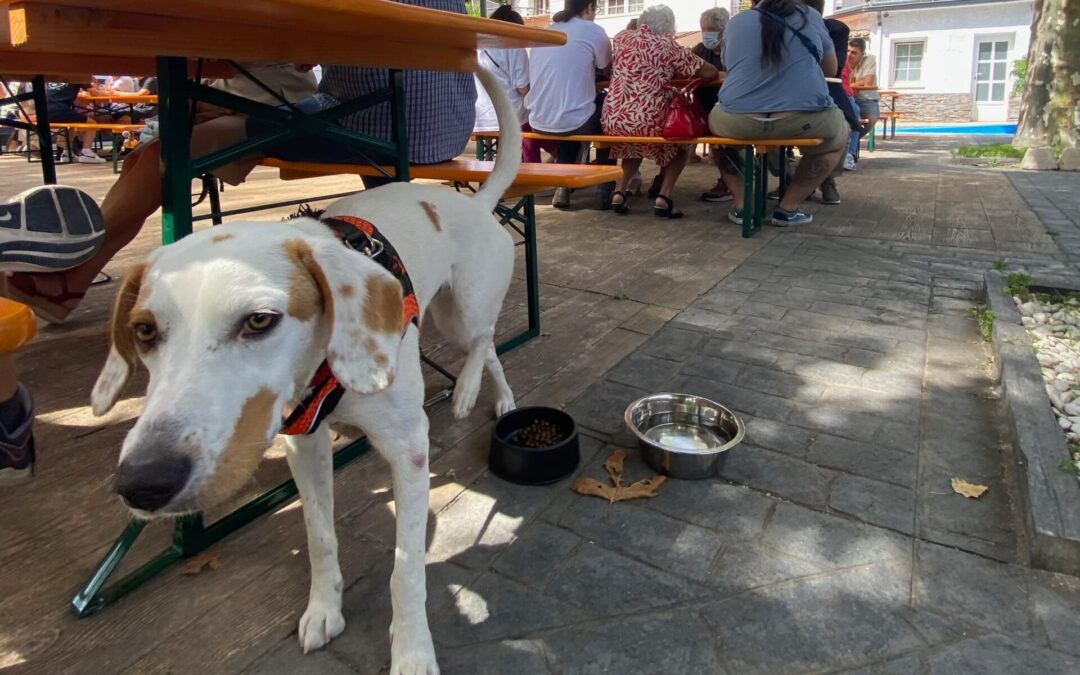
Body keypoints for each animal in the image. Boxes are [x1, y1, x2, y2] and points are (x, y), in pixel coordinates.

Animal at [90, 68, 520, 673]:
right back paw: (494, 396)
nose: (143, 482)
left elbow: (406, 568)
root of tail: (477, 204)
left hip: (463, 311)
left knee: (483, 340)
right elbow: (320, 538)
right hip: (446, 314)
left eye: (260, 320)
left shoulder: (409, 452)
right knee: (490, 347)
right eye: (145, 331)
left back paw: (470, 392)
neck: (326, 365)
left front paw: (412, 649)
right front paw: (324, 609)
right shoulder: (304, 446)